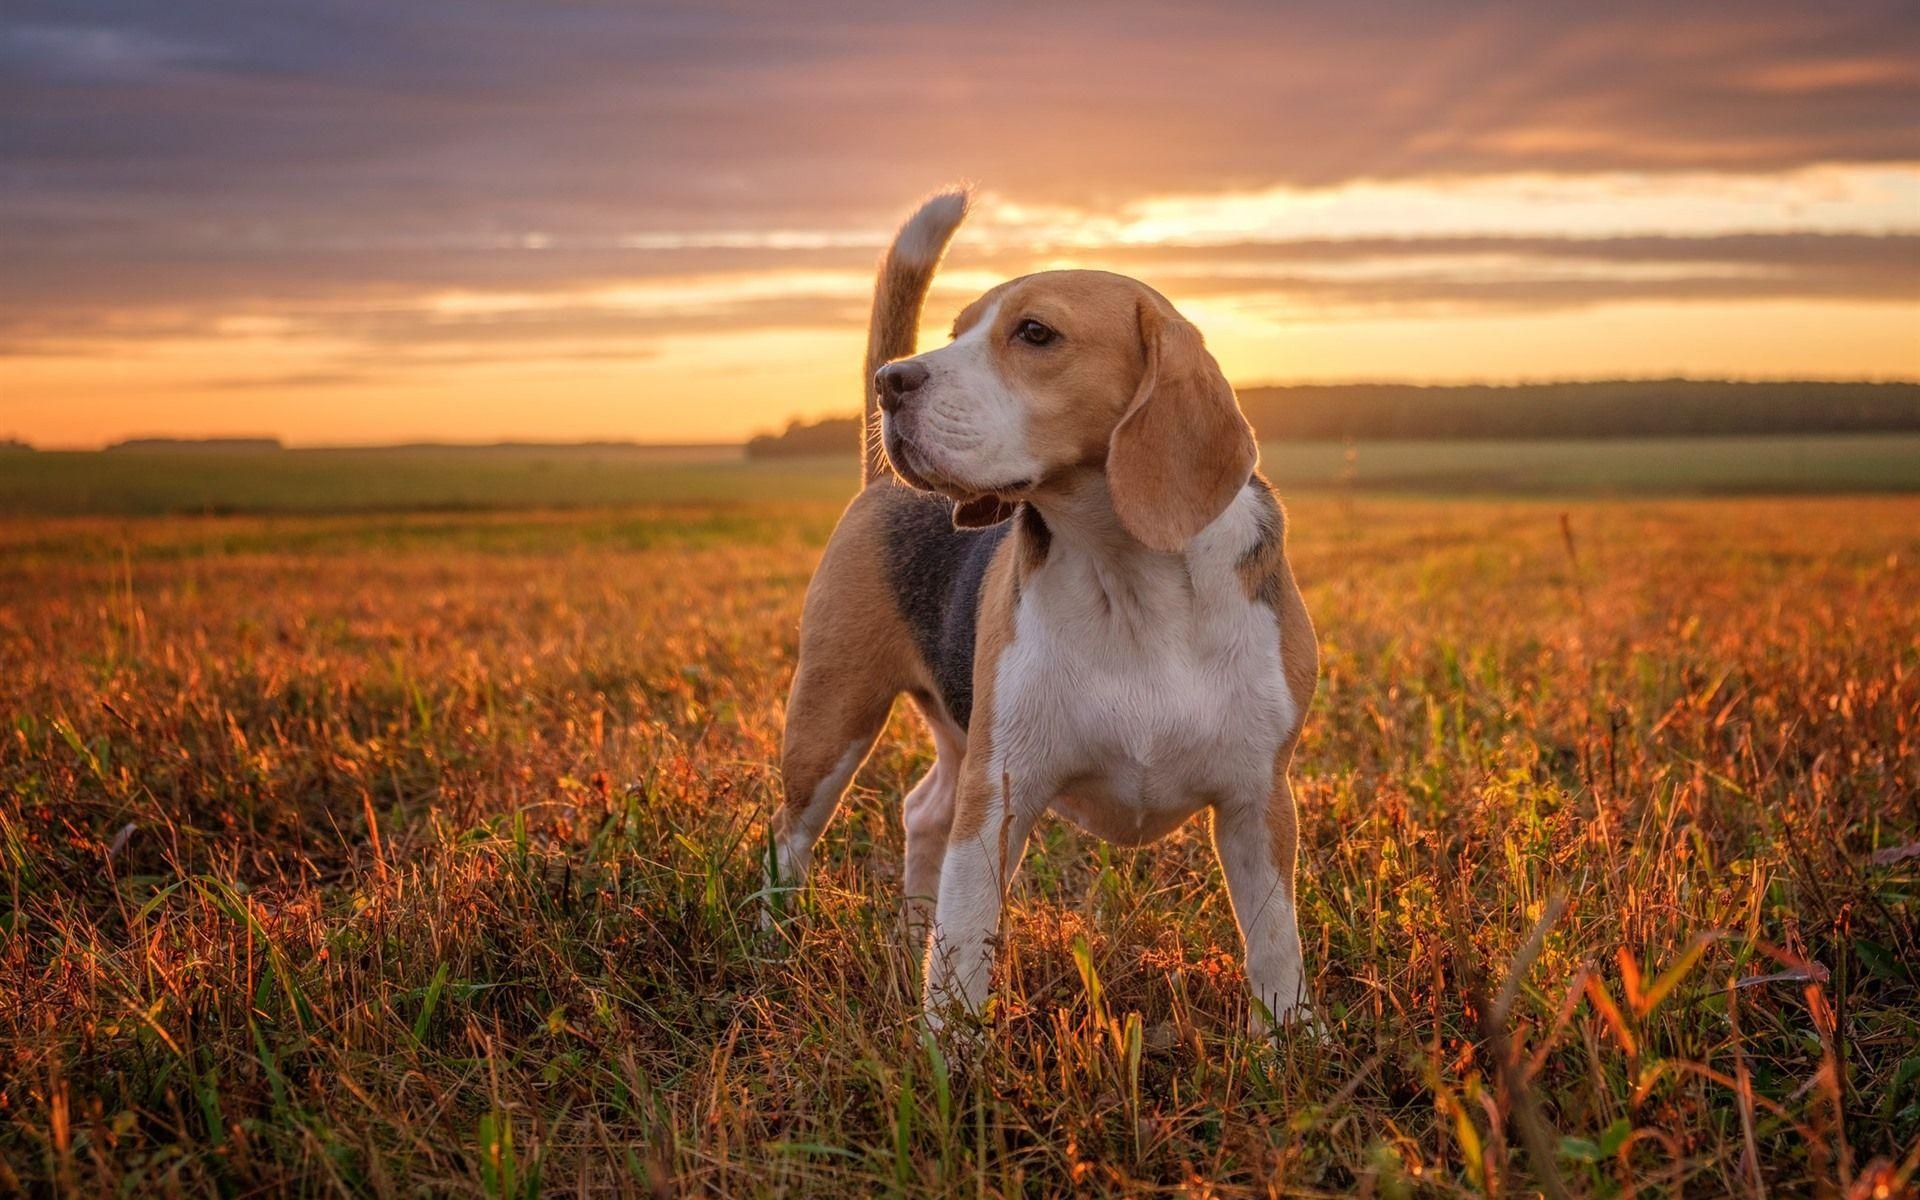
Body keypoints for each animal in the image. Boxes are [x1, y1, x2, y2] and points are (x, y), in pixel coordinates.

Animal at [768, 192, 1320, 1036]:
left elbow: (1275, 944)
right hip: (831, 718)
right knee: (791, 842)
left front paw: (1290, 1043)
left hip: (956, 730)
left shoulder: (1260, 800)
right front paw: (947, 1059)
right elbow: (964, 950)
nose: (892, 382)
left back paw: (907, 932)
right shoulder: (1000, 795)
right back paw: (769, 944)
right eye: (956, 330)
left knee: (923, 811)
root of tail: (881, 483)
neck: (1127, 574)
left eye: (1035, 334)